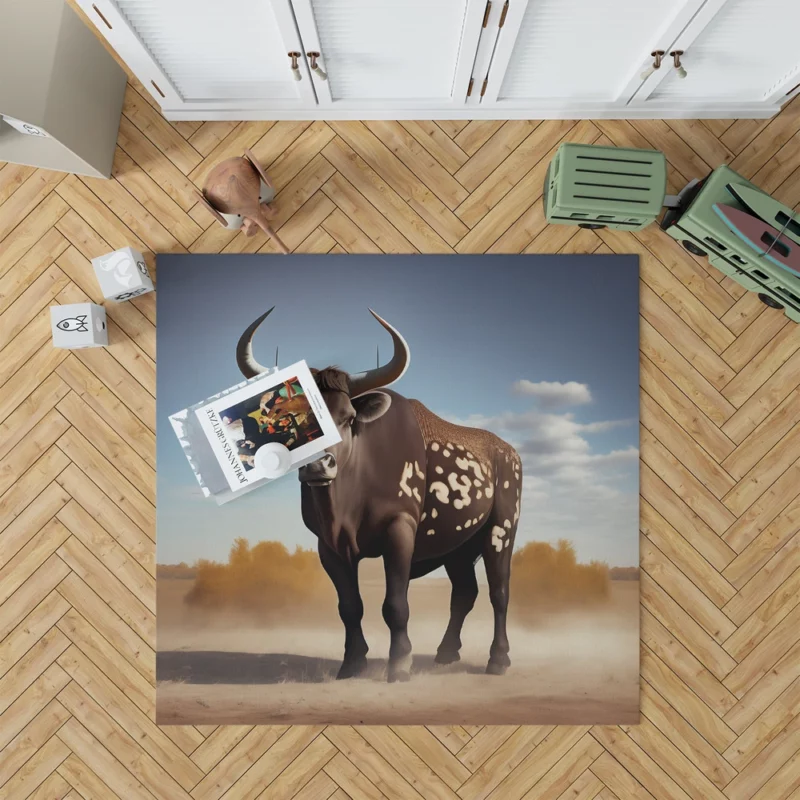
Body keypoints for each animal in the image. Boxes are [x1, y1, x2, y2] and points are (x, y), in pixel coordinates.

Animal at [234, 310, 520, 680]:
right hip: (457, 546)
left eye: (347, 418)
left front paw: (399, 664)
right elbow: (349, 606)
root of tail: (507, 451)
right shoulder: (328, 546)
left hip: (502, 529)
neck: (347, 503)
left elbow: (395, 604)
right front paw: (353, 662)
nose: (318, 465)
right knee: (464, 592)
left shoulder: (399, 531)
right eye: (291, 422)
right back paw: (445, 652)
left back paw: (498, 659)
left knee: (499, 591)